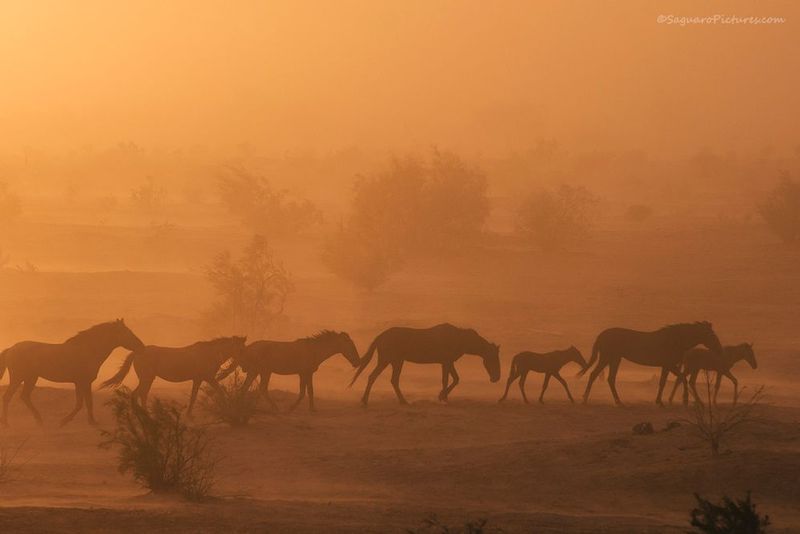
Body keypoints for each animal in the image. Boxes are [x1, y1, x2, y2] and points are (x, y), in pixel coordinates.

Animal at [0, 319, 145, 426]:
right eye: (127, 332)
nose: (141, 346)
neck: (88, 350)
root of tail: (11, 349)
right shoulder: (82, 382)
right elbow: (81, 403)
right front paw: (65, 421)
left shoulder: (83, 382)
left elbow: (87, 402)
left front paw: (91, 421)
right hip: (18, 378)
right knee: (7, 397)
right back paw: (7, 424)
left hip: (31, 378)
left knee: (24, 396)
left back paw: (39, 420)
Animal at [100, 336, 247, 416]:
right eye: (240, 349)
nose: (243, 364)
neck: (209, 354)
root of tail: (138, 352)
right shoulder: (209, 378)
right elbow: (221, 392)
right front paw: (228, 408)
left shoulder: (198, 379)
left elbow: (193, 397)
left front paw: (189, 414)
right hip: (146, 379)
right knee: (138, 394)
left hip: (148, 379)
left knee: (141, 394)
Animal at [218, 330, 360, 412]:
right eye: (351, 346)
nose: (357, 362)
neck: (314, 350)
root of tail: (247, 348)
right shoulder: (304, 373)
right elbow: (304, 392)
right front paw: (294, 408)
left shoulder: (307, 373)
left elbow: (309, 391)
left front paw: (312, 409)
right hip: (263, 371)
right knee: (259, 389)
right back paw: (274, 408)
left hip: (257, 371)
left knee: (246, 388)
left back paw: (241, 405)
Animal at [350, 323, 501, 406]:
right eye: (493, 358)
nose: (496, 378)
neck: (460, 338)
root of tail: (380, 336)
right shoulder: (446, 362)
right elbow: (446, 380)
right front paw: (442, 397)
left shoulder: (448, 362)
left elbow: (455, 379)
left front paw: (444, 397)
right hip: (388, 361)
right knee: (376, 377)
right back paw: (367, 401)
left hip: (395, 362)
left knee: (390, 380)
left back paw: (399, 401)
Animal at [578, 321, 723, 406]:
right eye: (711, 334)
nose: (719, 349)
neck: (676, 340)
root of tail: (601, 335)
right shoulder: (669, 364)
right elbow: (680, 378)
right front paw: (685, 400)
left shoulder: (667, 366)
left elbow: (665, 382)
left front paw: (659, 400)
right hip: (607, 358)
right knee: (594, 375)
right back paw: (585, 400)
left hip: (615, 359)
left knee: (609, 378)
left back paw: (618, 401)